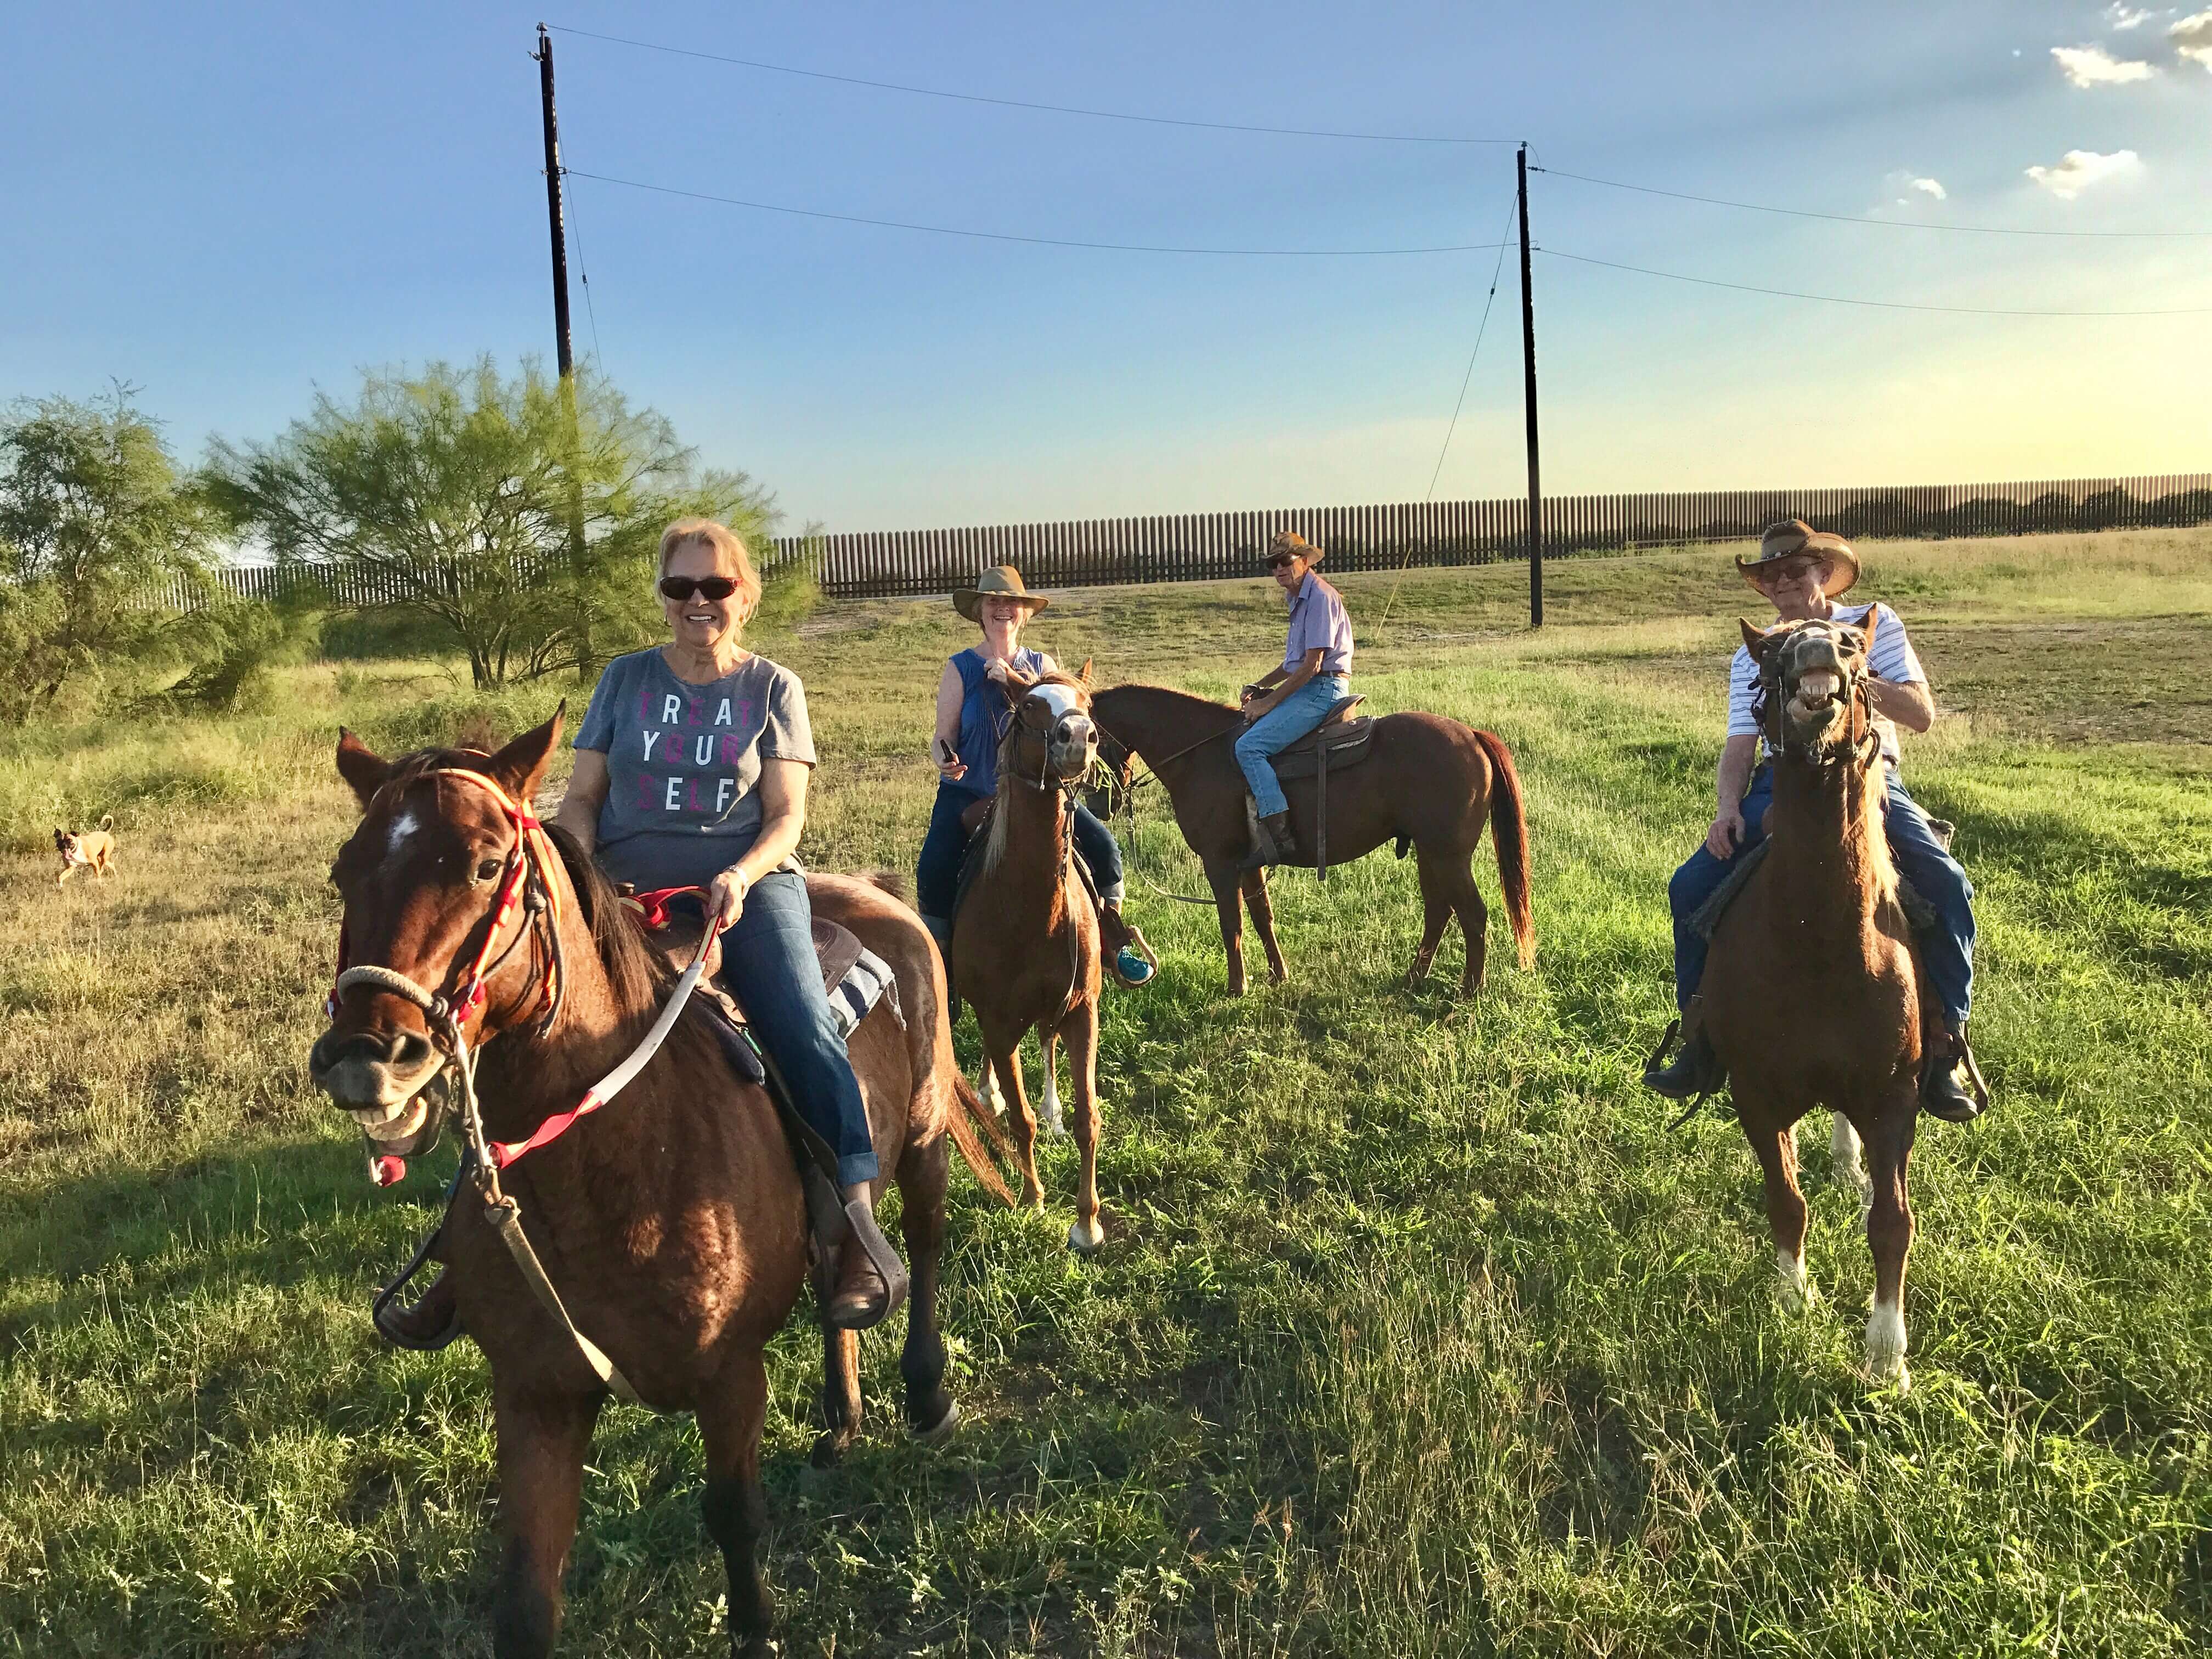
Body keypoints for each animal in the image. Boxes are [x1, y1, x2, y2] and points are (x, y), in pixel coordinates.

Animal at [55, 814, 116, 884]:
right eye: (60, 840)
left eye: (70, 840)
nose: (64, 845)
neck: (75, 852)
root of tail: (105, 833)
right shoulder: (70, 868)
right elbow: (60, 877)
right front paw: (60, 886)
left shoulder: (94, 863)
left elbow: (98, 875)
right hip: (100, 858)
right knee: (111, 865)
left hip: (103, 857)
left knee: (102, 869)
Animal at [305, 716, 1013, 1659]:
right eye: (347, 869)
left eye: (488, 865)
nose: (364, 1056)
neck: (610, 1167)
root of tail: (873, 892)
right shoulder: (535, 1396)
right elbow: (526, 1597)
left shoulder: (730, 1378)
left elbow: (734, 1517)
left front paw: (756, 1628)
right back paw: (841, 1416)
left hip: (926, 1136)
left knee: (925, 1246)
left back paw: (927, 1395)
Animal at [946, 668, 1106, 1256]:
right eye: (1030, 706)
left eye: (1087, 703)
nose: (1079, 736)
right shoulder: (996, 1021)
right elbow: (1020, 1121)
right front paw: (1036, 1200)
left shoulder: (1083, 1010)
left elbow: (1088, 1119)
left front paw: (1086, 1223)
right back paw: (990, 1091)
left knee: (1047, 1044)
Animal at [1088, 685, 1539, 1000]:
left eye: (1088, 738)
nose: (1097, 806)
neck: (1203, 755)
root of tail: (1473, 736)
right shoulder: (1249, 863)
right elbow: (1262, 918)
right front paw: (1277, 975)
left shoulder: (1220, 862)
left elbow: (1232, 923)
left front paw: (1237, 987)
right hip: (1429, 853)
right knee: (1439, 912)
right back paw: (1414, 977)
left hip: (1449, 856)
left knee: (1473, 915)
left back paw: (1469, 989)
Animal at [1699, 619, 1928, 1398]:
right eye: (1770, 652)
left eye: (1856, 646)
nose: (1817, 650)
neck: (1820, 941)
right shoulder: (1755, 1092)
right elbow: (1786, 1199)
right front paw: (1794, 1296)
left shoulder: (1893, 1096)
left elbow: (1892, 1223)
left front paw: (1887, 1354)